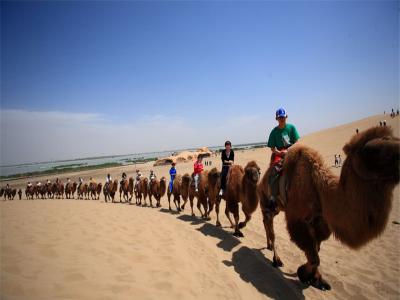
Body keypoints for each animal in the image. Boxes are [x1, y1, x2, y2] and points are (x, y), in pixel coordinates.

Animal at [258, 126, 398, 290]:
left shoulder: (320, 221)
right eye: (371, 150)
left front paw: (317, 279)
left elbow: (317, 249)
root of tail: (260, 182)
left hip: (276, 208)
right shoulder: (298, 220)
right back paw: (276, 260)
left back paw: (268, 247)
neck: (319, 188)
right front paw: (303, 274)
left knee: (266, 224)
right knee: (270, 227)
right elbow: (314, 257)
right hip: (266, 203)